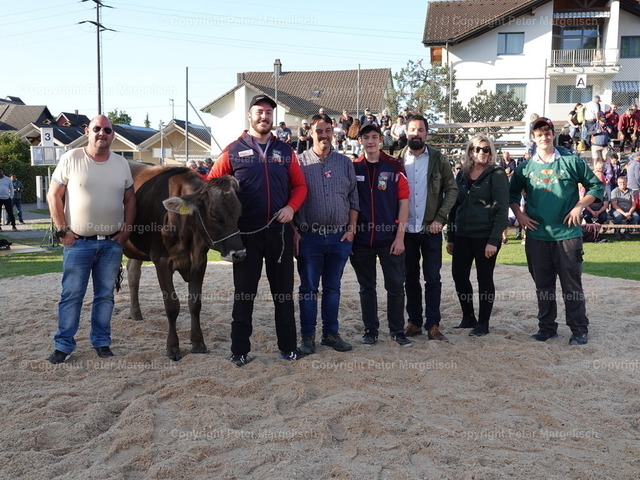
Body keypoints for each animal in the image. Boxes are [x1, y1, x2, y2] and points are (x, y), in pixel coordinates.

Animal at [122, 161, 245, 361]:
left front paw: (198, 343)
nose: (240, 254)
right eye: (213, 215)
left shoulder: (200, 262)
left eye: (239, 213)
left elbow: (195, 304)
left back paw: (135, 313)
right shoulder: (161, 261)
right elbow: (172, 306)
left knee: (133, 273)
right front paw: (173, 348)